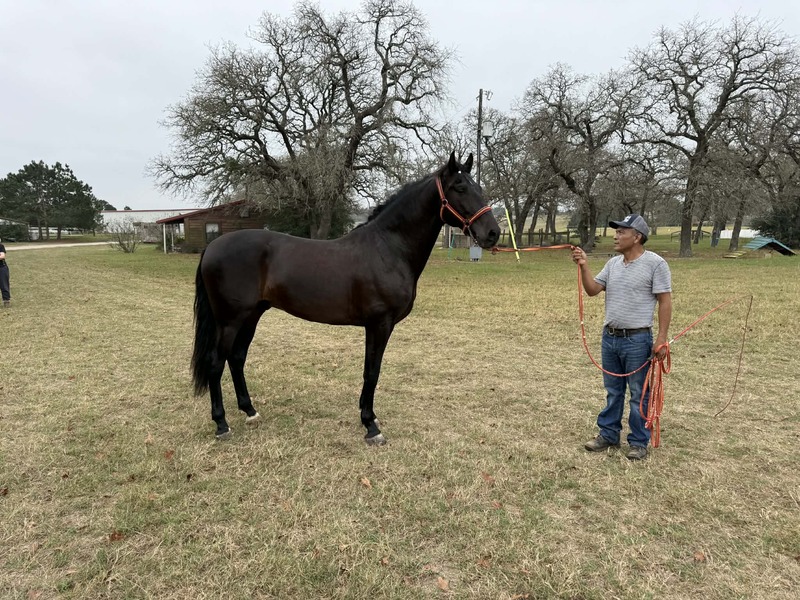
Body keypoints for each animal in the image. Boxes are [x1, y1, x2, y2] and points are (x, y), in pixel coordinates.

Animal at [191, 151, 500, 444]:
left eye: (478, 187)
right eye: (460, 188)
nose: (493, 233)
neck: (388, 248)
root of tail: (212, 247)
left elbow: (370, 370)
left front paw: (367, 416)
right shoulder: (379, 323)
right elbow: (372, 371)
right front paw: (371, 426)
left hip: (252, 315)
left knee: (237, 358)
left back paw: (250, 411)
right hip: (230, 320)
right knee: (216, 363)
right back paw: (221, 424)